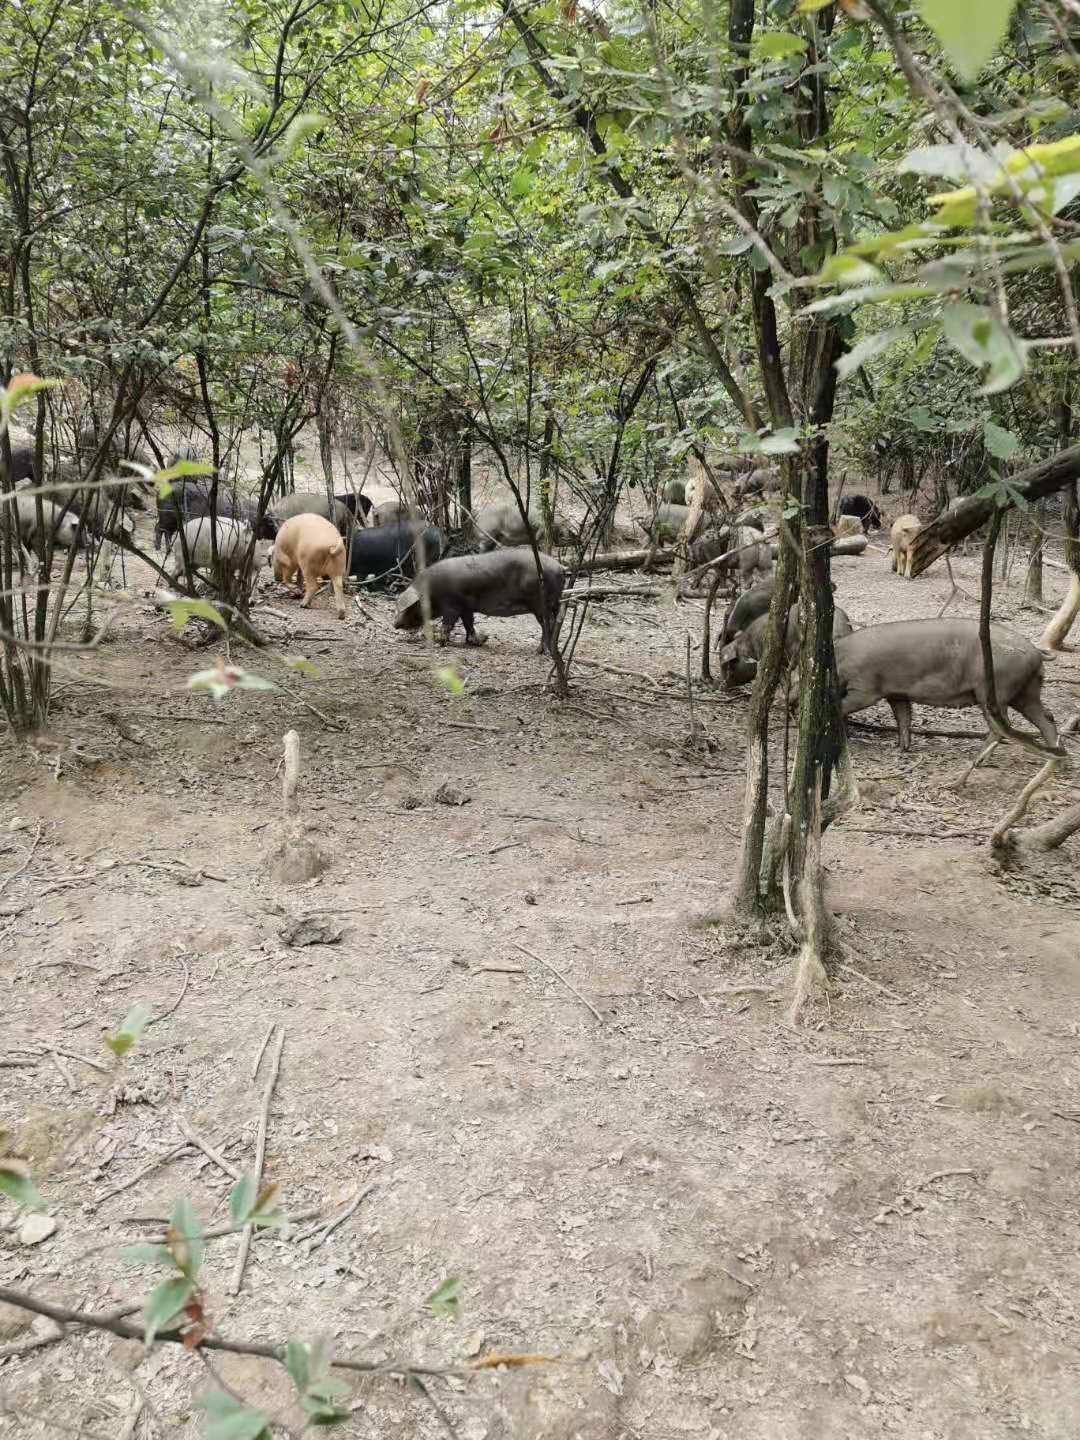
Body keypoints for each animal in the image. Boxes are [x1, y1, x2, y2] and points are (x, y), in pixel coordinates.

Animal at [394, 544, 567, 653]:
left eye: (411, 606)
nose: (394, 624)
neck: (432, 591)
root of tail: (559, 567)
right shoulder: (466, 607)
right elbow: (468, 624)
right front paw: (478, 641)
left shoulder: (452, 605)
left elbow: (448, 624)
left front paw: (440, 642)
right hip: (553, 602)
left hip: (540, 603)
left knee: (548, 623)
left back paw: (541, 651)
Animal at [829, 619, 1059, 754]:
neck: (841, 658)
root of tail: (1035, 651)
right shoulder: (896, 693)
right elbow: (903, 717)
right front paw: (901, 749)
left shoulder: (865, 688)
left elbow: (843, 705)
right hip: (1027, 690)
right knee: (1046, 717)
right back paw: (1056, 757)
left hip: (994, 690)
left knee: (1002, 726)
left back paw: (977, 759)